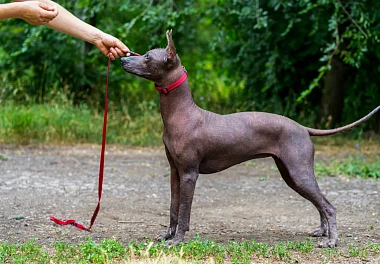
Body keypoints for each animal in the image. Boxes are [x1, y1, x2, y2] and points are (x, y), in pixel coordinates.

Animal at [121, 29, 380, 249]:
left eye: (147, 56)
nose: (123, 59)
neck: (181, 113)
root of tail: (303, 128)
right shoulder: (175, 172)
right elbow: (174, 208)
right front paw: (168, 235)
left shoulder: (189, 174)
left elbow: (184, 211)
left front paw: (177, 240)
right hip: (291, 174)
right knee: (320, 203)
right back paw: (322, 232)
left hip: (299, 171)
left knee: (329, 205)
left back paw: (331, 241)